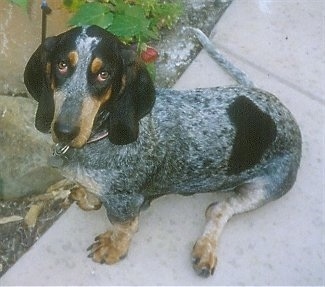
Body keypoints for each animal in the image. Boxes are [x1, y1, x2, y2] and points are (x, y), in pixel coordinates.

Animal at [23, 25, 302, 278]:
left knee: (218, 209)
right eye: (61, 65)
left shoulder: (126, 203)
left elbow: (124, 227)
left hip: (266, 188)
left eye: (104, 74)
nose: (65, 131)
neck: (101, 136)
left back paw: (205, 249)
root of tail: (280, 109)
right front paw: (88, 196)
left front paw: (113, 248)